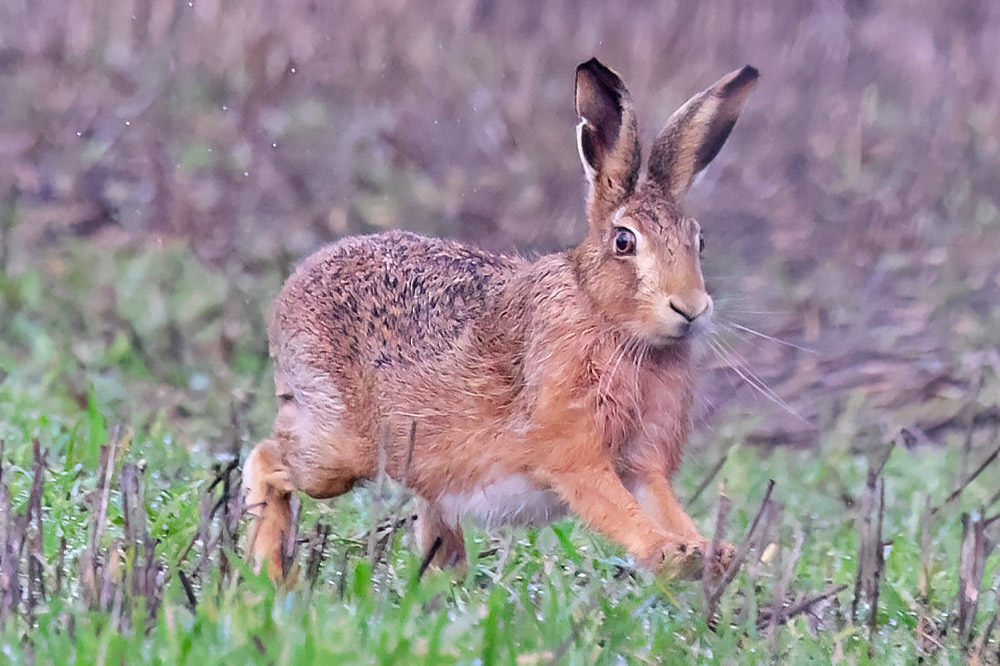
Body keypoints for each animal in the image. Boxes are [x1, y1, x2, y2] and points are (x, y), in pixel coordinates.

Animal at [243, 58, 759, 582]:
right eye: (624, 241)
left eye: (699, 242)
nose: (690, 308)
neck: (604, 316)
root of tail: (291, 291)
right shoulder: (574, 454)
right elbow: (616, 508)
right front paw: (672, 554)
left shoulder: (642, 464)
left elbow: (661, 502)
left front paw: (709, 552)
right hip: (337, 449)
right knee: (266, 459)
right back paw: (267, 573)